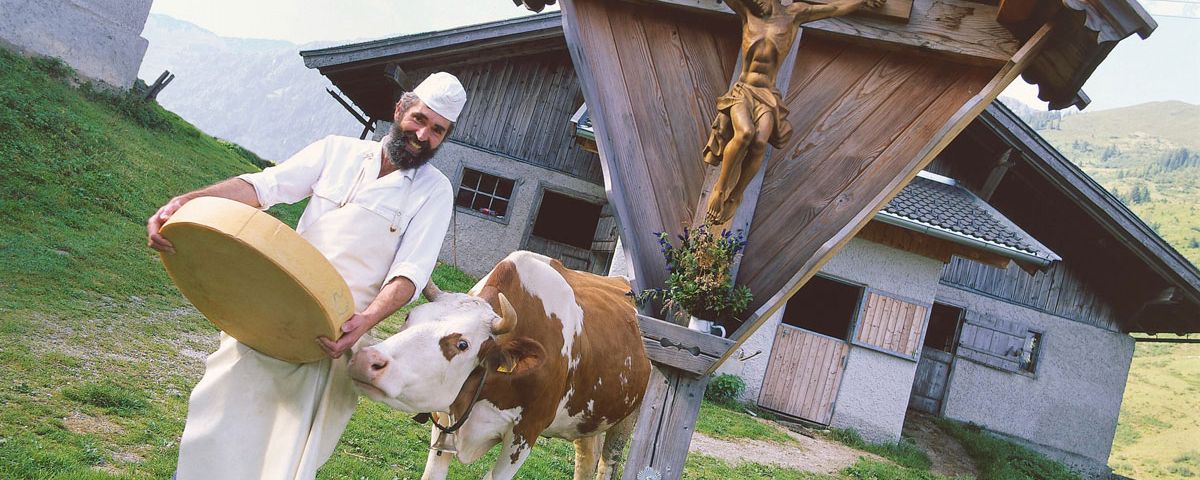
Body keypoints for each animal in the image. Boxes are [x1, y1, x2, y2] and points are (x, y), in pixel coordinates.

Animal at [348, 250, 652, 480]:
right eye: (409, 316)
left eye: (463, 344)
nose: (366, 359)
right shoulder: (445, 419)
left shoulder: (525, 433)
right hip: (589, 416)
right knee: (586, 458)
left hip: (627, 419)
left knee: (607, 463)